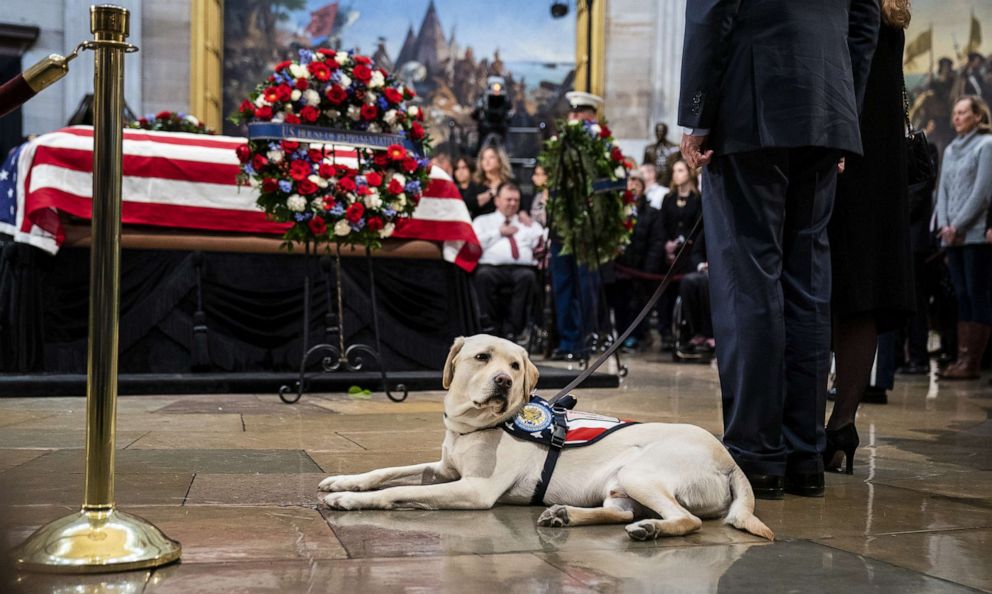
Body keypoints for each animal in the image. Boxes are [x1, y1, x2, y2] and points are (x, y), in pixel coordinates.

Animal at [318, 336, 776, 540]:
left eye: (516, 366)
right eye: (482, 357)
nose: (503, 382)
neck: (475, 426)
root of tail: (730, 461)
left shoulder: (475, 489)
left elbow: (396, 492)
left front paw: (348, 500)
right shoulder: (445, 468)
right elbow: (387, 472)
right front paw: (344, 481)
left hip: (641, 473)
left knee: (686, 520)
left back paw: (649, 529)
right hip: (620, 486)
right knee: (619, 513)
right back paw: (565, 516)